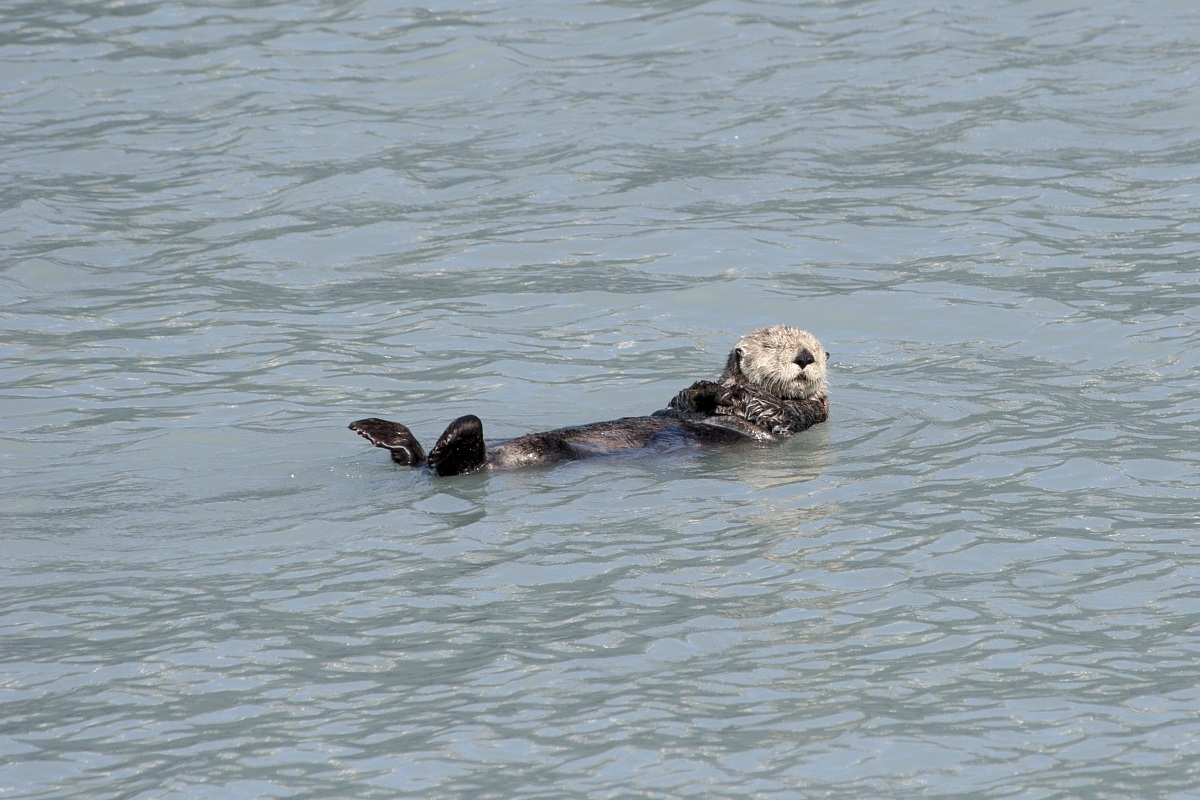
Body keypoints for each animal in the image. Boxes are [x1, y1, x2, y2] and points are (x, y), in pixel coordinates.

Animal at [349, 325, 830, 477]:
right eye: (773, 345)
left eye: (813, 346)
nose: (805, 357)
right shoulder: (679, 404)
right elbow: (682, 401)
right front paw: (710, 388)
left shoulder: (801, 416)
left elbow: (773, 413)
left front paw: (732, 392)